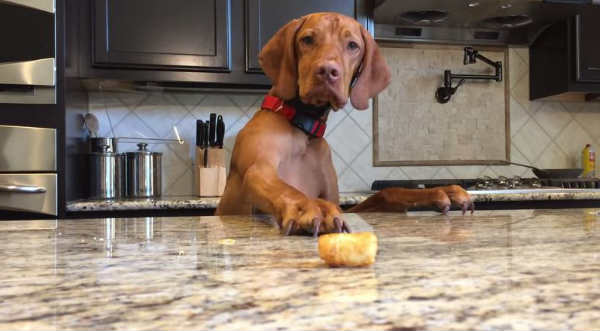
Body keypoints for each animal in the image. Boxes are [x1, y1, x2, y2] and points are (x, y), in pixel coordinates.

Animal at [216, 13, 474, 236]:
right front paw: (309, 207)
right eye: (307, 39)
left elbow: (386, 192)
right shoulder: (259, 170)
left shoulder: (340, 201)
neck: (303, 128)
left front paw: (441, 191)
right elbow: (286, 189)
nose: (327, 71)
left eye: (352, 45)